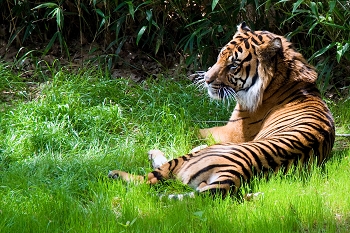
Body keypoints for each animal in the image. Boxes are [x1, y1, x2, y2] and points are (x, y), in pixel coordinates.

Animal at [108, 21, 334, 197]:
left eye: (233, 65)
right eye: (220, 56)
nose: (207, 79)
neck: (284, 80)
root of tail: (235, 173)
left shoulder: (230, 132)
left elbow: (188, 128)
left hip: (192, 158)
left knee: (148, 180)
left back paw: (121, 171)